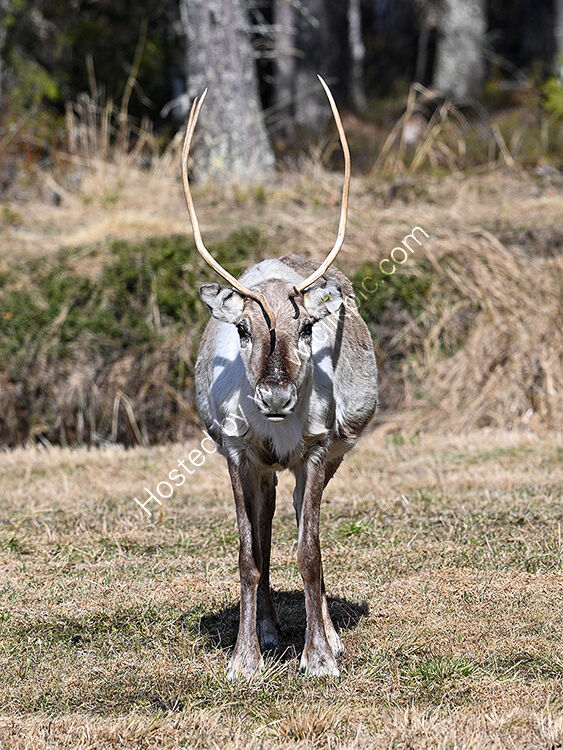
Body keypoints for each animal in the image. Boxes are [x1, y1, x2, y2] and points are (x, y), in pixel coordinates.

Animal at [183, 77, 378, 679]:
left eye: (308, 325)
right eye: (243, 328)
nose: (274, 394)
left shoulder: (315, 450)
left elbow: (309, 551)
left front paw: (320, 659)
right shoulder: (236, 452)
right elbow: (250, 553)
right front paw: (244, 660)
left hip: (326, 458)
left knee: (296, 522)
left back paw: (330, 636)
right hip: (265, 468)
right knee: (269, 530)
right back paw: (268, 633)